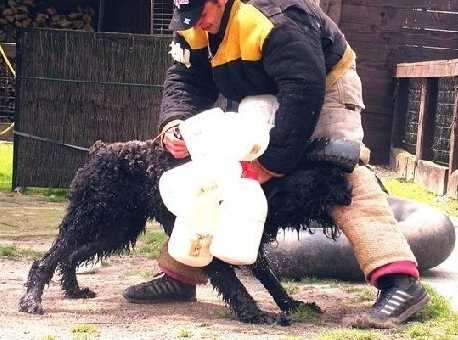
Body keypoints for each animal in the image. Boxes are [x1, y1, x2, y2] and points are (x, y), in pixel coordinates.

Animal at [17, 139, 350, 326]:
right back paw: (31, 301)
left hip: (117, 228)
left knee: (69, 256)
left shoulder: (249, 246)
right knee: (47, 259)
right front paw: (257, 315)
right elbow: (236, 287)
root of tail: (99, 151)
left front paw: (293, 305)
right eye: (325, 179)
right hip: (90, 217)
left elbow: (272, 281)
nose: (350, 195)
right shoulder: (213, 249)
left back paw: (73, 290)